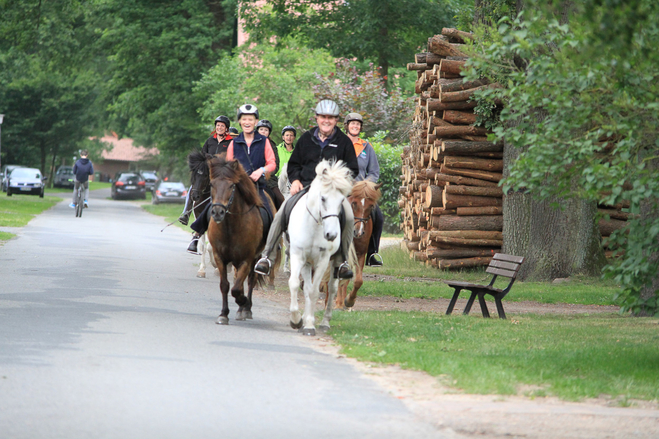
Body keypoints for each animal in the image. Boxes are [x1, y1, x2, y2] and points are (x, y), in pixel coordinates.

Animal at [208, 154, 278, 324]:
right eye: (212, 184)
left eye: (231, 186)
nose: (218, 212)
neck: (230, 227)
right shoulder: (220, 258)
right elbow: (225, 285)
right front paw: (223, 314)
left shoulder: (246, 259)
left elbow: (237, 288)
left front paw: (244, 303)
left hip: (256, 257)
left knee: (251, 280)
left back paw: (245, 309)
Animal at [286, 160, 354, 336]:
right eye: (322, 198)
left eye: (341, 201)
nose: (331, 234)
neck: (315, 226)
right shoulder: (298, 256)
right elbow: (295, 284)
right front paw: (296, 320)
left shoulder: (323, 261)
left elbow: (314, 291)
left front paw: (309, 325)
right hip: (307, 262)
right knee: (306, 287)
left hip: (335, 262)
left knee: (332, 288)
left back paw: (324, 322)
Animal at [336, 180, 382, 312]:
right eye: (354, 203)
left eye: (371, 206)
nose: (358, 232)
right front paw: (338, 303)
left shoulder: (360, 254)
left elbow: (357, 281)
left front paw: (348, 301)